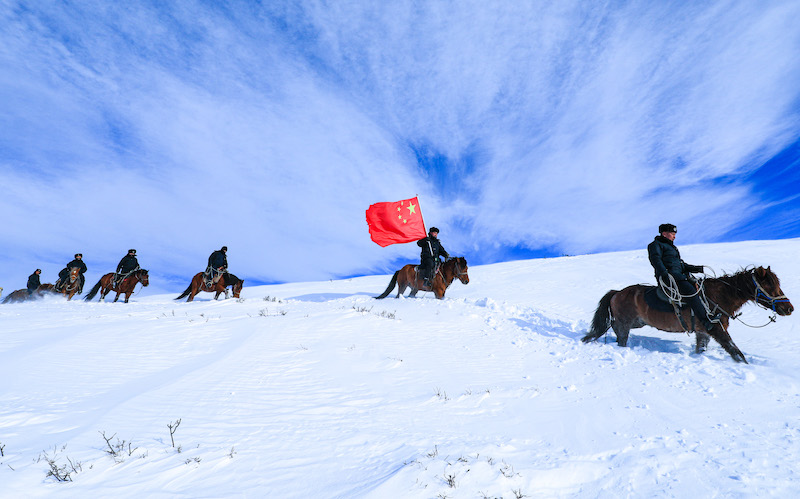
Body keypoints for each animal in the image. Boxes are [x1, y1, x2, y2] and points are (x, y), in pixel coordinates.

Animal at [580, 268, 792, 366]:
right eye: (770, 285)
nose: (789, 308)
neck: (718, 297)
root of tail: (617, 293)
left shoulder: (703, 333)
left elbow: (702, 349)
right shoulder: (716, 330)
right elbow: (736, 352)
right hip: (624, 325)